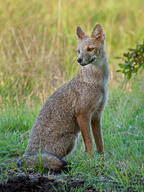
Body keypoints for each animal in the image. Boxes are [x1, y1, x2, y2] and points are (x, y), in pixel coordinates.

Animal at [22, 23, 108, 171]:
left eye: (90, 49)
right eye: (78, 51)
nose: (79, 60)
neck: (97, 82)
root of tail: (27, 154)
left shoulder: (96, 115)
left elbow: (100, 142)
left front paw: (103, 160)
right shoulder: (82, 114)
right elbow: (89, 143)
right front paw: (91, 161)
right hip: (71, 139)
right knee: (54, 160)